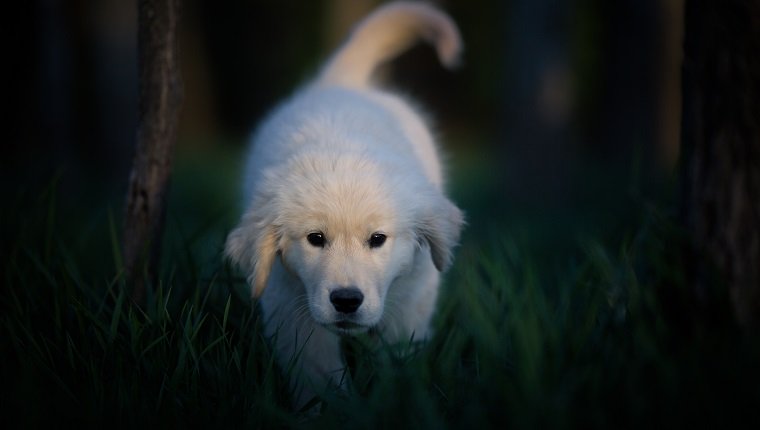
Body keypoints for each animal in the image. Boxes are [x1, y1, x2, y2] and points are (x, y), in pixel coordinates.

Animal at [224, 0, 464, 410]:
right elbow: (317, 368)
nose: (347, 301)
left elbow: (398, 353)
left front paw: (399, 397)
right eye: (315, 239)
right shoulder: (291, 300)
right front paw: (329, 411)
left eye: (378, 239)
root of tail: (342, 83)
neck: (342, 146)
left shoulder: (412, 293)